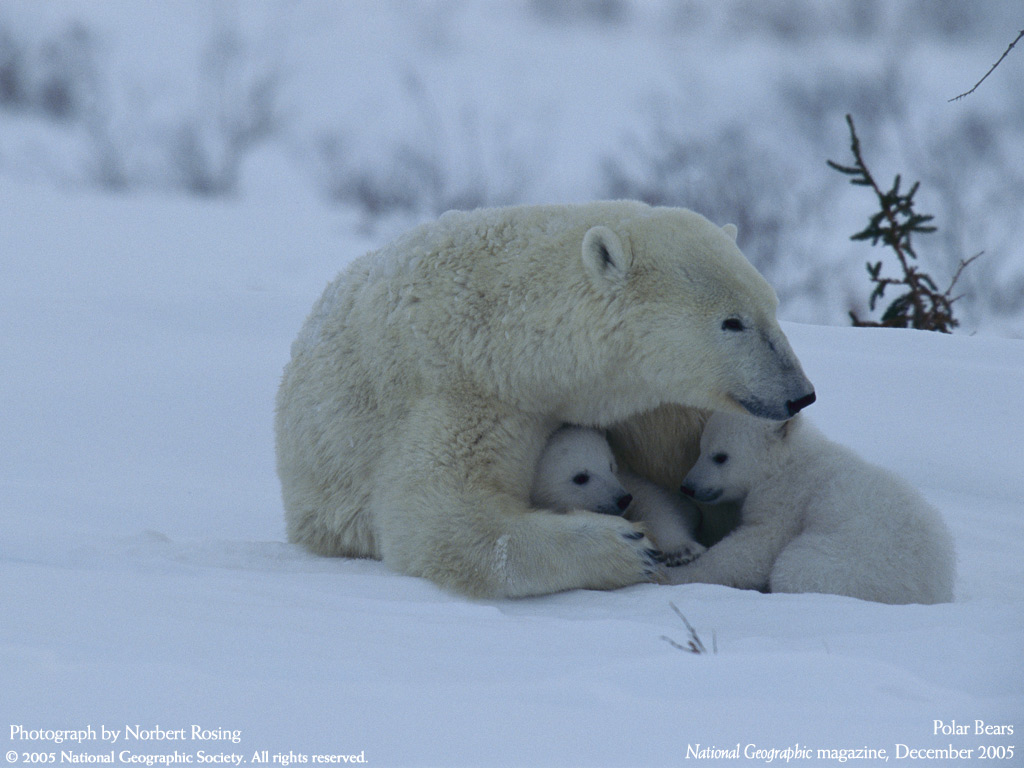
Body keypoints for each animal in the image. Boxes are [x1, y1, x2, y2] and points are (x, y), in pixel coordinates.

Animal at [528, 428, 704, 565]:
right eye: (580, 477)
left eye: (610, 465)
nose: (623, 499)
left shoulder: (628, 482)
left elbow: (655, 503)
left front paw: (681, 551)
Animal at [667, 411, 954, 606]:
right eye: (701, 448)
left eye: (720, 456)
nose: (688, 487)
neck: (789, 460)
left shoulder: (787, 497)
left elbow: (757, 546)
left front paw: (679, 572)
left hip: (854, 565)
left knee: (794, 568)